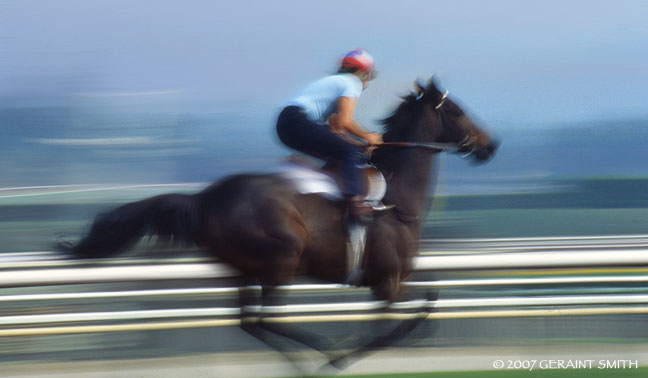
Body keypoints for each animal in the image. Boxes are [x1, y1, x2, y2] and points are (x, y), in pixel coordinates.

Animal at [58, 78, 498, 374]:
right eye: (456, 110)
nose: (489, 145)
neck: (396, 198)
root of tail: (206, 197)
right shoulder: (388, 282)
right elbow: (409, 316)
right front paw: (343, 353)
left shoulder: (390, 280)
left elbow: (425, 305)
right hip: (280, 259)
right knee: (269, 318)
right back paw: (320, 352)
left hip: (243, 269)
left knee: (249, 321)